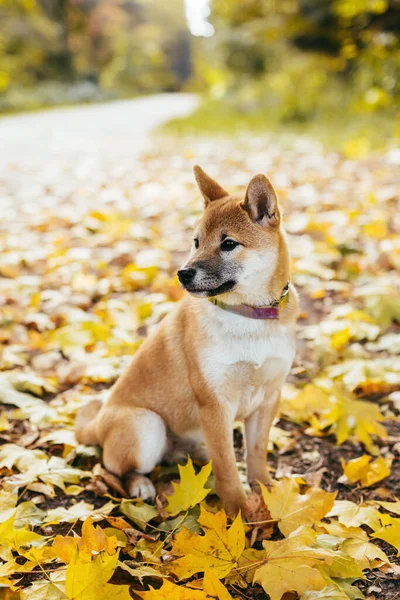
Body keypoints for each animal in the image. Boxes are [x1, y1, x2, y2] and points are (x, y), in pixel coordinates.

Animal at [76, 166, 298, 512]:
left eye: (228, 244)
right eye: (196, 242)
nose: (182, 273)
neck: (249, 316)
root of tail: (97, 424)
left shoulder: (268, 398)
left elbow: (256, 455)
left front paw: (267, 493)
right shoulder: (215, 405)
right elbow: (228, 470)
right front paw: (238, 512)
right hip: (147, 427)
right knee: (114, 468)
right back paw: (140, 485)